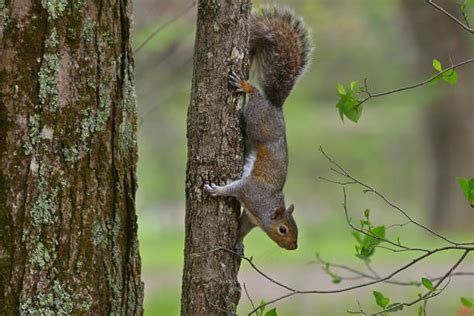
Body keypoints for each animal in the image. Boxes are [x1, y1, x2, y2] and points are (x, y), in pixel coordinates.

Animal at [203, 6, 312, 253]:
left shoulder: (250, 218)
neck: (265, 210)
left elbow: (242, 228)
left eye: (296, 229)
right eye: (283, 230)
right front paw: (217, 191)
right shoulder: (250, 191)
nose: (294, 247)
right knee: (254, 93)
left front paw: (238, 244)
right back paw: (244, 86)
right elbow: (234, 188)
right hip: (257, 119)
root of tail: (275, 105)